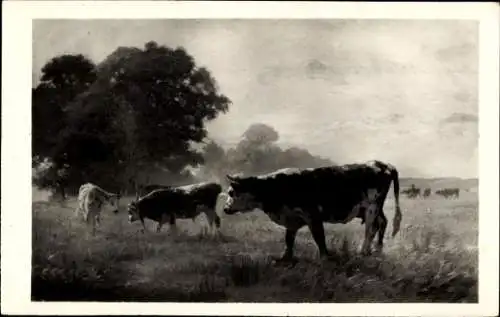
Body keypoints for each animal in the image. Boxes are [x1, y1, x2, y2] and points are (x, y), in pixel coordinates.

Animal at [223, 159, 402, 260]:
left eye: (231, 192)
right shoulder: (292, 218)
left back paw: (363, 251)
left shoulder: (312, 215)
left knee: (371, 228)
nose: (224, 208)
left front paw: (324, 258)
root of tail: (383, 164)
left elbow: (319, 237)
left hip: (372, 207)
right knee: (382, 223)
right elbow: (289, 239)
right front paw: (285, 258)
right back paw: (377, 249)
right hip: (374, 209)